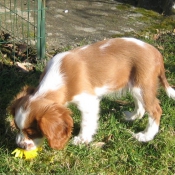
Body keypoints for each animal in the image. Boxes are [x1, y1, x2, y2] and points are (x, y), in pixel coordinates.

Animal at [9, 38, 175, 150]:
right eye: (17, 128)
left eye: (32, 132)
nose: (21, 146)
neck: (59, 78)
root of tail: (157, 53)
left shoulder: (87, 100)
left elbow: (87, 122)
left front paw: (81, 139)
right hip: (135, 85)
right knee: (140, 104)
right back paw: (133, 116)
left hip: (143, 85)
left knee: (156, 110)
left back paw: (146, 136)